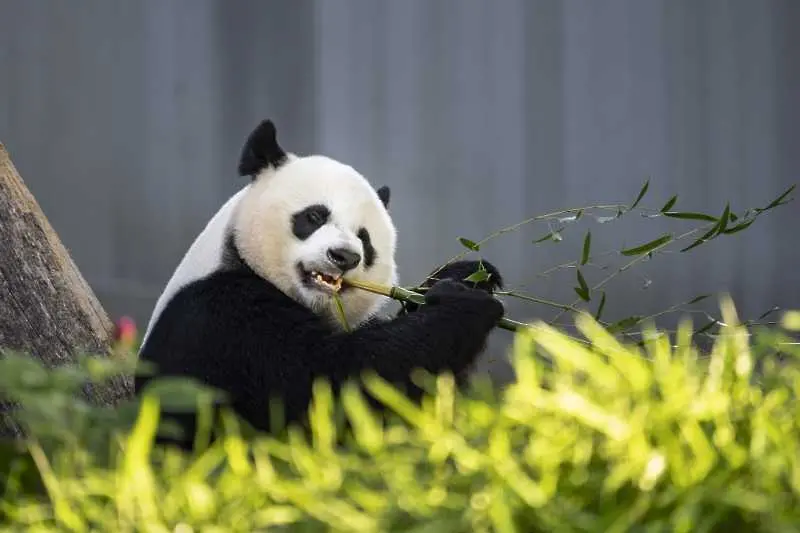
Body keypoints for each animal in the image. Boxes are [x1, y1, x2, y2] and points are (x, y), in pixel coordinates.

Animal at [134, 118, 504, 446]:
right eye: (314, 216)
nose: (344, 256)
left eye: (364, 239)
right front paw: (466, 304)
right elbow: (333, 384)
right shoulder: (223, 320)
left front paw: (471, 276)